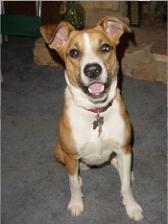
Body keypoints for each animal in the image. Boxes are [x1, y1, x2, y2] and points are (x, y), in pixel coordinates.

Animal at [40, 16, 143, 222]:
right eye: (73, 53)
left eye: (105, 48)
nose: (93, 70)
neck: (96, 111)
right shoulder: (71, 155)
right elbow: (73, 184)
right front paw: (76, 204)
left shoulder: (124, 148)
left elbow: (125, 186)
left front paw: (131, 206)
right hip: (59, 150)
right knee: (74, 172)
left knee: (119, 166)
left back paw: (126, 172)